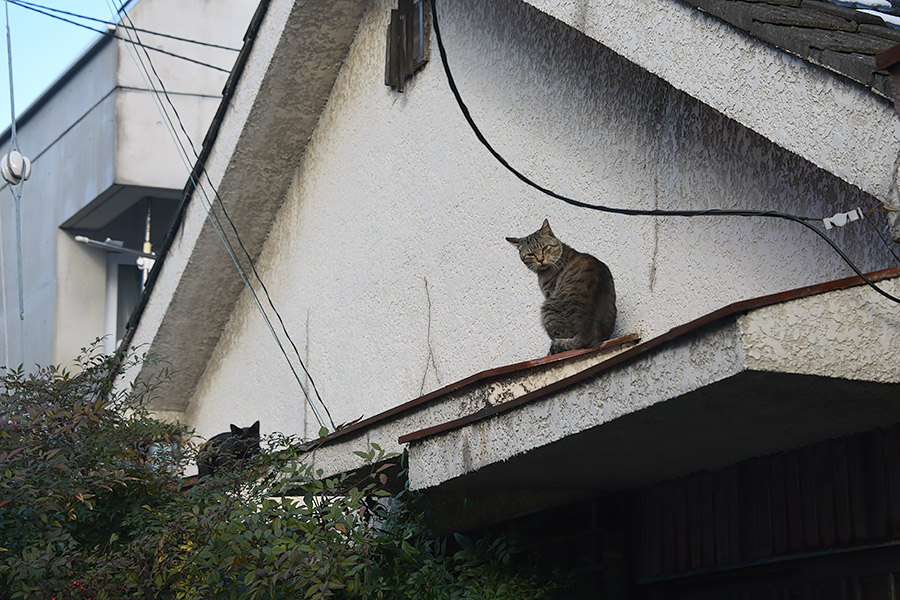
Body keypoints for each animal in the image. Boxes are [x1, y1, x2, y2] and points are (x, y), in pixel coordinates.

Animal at [506, 219, 620, 352]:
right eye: (531, 254)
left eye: (545, 248)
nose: (540, 260)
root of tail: (587, 333)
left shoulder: (549, 293)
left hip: (547, 309)